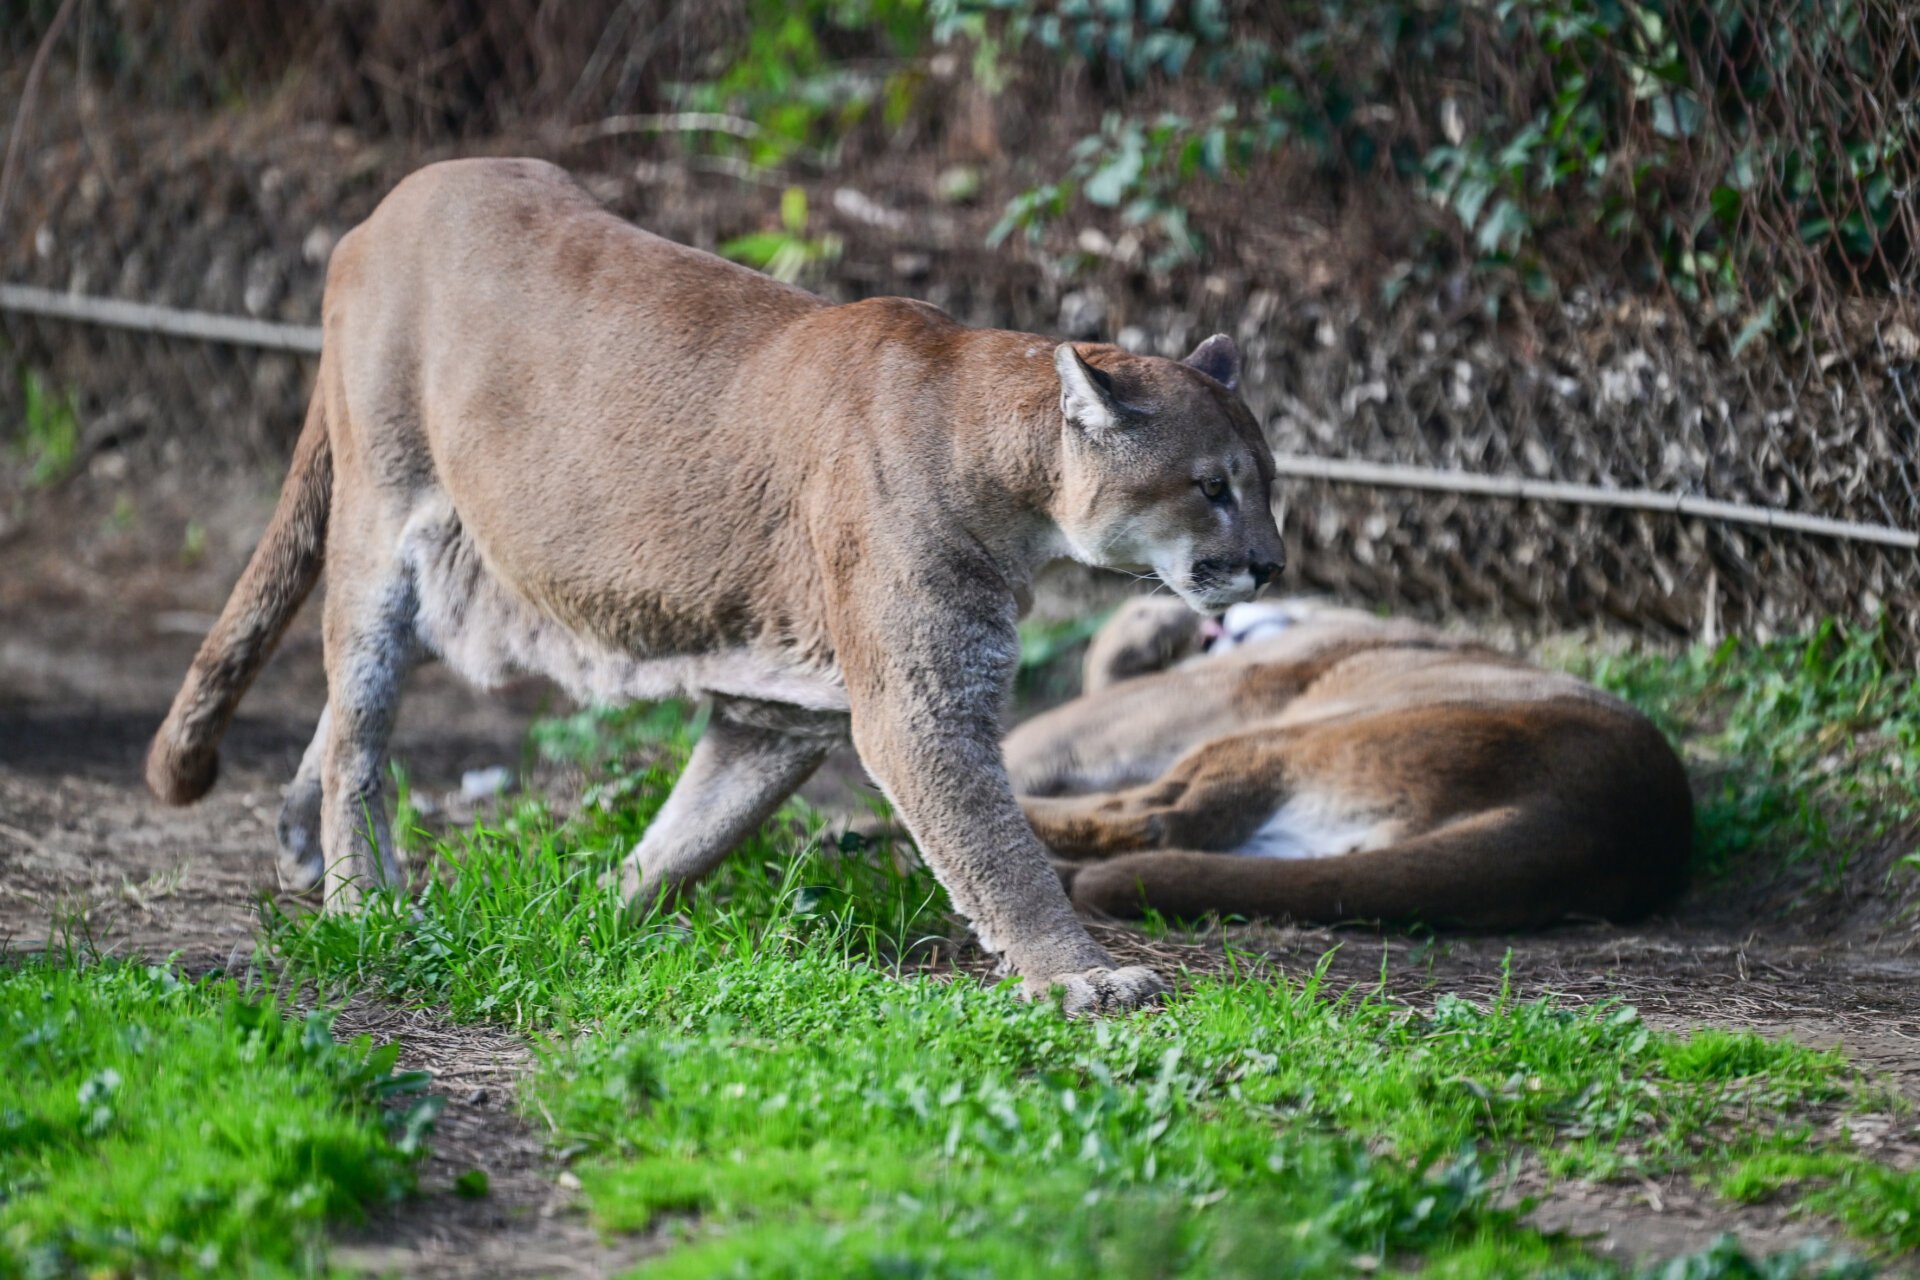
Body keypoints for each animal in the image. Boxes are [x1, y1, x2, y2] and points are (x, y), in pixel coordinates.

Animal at [142, 160, 1282, 1013]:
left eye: (1271, 483)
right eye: (1213, 486)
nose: (1272, 564)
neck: (1002, 458)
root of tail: (375, 215)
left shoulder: (779, 708)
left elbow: (691, 833)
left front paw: (594, 916)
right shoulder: (921, 705)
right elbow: (998, 850)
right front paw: (1084, 978)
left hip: (464, 578)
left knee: (343, 707)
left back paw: (304, 852)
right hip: (385, 524)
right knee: (359, 727)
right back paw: (361, 906)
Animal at [1013, 602, 1689, 932]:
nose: (1221, 614)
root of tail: (1597, 833)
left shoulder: (1213, 691)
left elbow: (1058, 719)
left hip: (1279, 737)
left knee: (1158, 817)